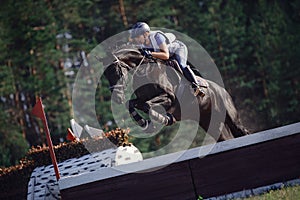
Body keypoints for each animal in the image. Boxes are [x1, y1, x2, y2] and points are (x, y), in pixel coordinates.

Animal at [103, 46, 248, 141]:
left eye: (117, 71)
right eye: (105, 75)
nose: (117, 98)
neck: (145, 71)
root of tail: (222, 90)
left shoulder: (169, 98)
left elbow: (147, 105)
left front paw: (163, 120)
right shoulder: (141, 98)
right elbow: (132, 104)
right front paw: (146, 124)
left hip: (232, 118)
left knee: (242, 131)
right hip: (212, 124)